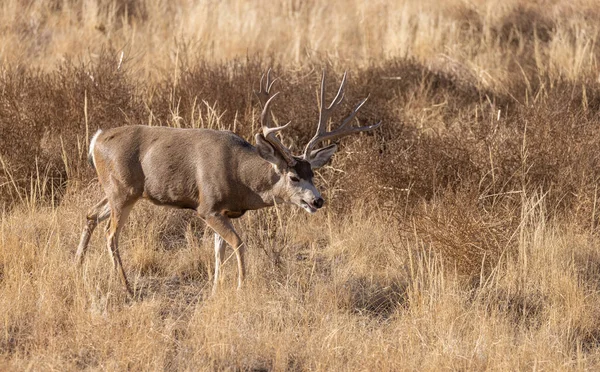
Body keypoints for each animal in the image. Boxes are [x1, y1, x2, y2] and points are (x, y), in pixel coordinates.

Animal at [76, 70, 380, 296]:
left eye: (313, 175)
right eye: (294, 177)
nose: (317, 200)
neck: (240, 178)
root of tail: (96, 139)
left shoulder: (222, 212)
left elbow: (218, 251)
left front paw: (215, 290)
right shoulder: (207, 207)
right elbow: (239, 243)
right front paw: (241, 286)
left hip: (119, 190)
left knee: (91, 214)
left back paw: (77, 264)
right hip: (122, 190)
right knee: (111, 235)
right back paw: (126, 287)